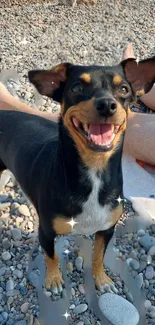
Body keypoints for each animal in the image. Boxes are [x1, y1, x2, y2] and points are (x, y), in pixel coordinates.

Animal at [0, 55, 154, 292]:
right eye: (77, 87)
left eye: (124, 89)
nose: (107, 105)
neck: (94, 171)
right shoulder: (46, 232)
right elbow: (51, 257)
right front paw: (54, 280)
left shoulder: (107, 229)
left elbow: (98, 256)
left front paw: (102, 280)